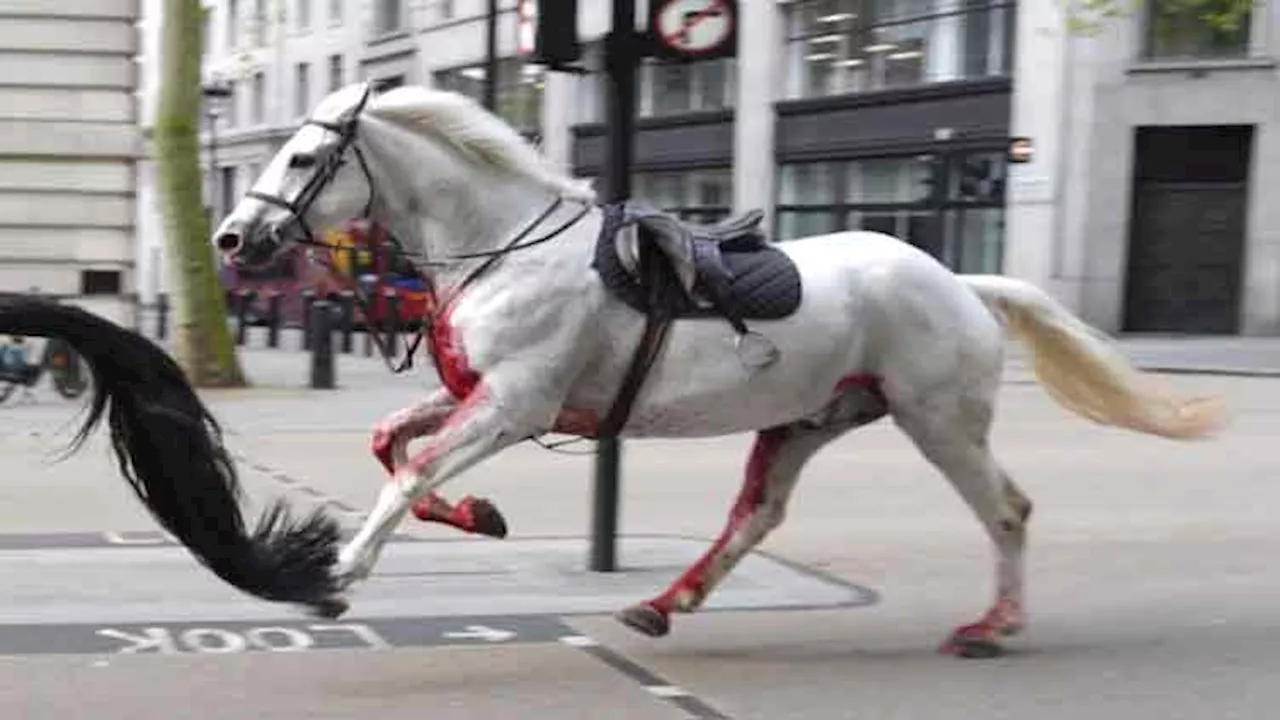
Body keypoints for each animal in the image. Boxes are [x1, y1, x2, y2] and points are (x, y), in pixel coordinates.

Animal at [207, 82, 1218, 655]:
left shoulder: (515, 404)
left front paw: (339, 574)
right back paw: (665, 603)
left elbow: (410, 469)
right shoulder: (480, 396)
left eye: (305, 156)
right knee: (756, 517)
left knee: (1006, 511)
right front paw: (478, 515)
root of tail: (959, 280)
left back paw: (992, 627)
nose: (231, 238)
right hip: (808, 420)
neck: (501, 247)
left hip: (939, 420)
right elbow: (392, 445)